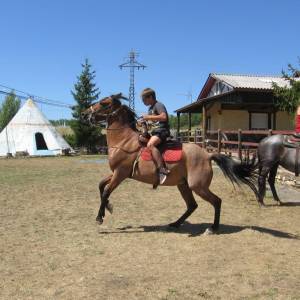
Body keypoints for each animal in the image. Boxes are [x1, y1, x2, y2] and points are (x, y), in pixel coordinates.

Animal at [82, 94, 258, 234]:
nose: (84, 114)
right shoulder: (116, 173)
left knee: (216, 201)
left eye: (103, 103)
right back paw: (175, 223)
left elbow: (106, 192)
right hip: (184, 185)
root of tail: (207, 155)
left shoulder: (120, 174)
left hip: (198, 186)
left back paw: (213, 228)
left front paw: (99, 217)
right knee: (192, 205)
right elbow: (100, 186)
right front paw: (107, 208)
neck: (124, 141)